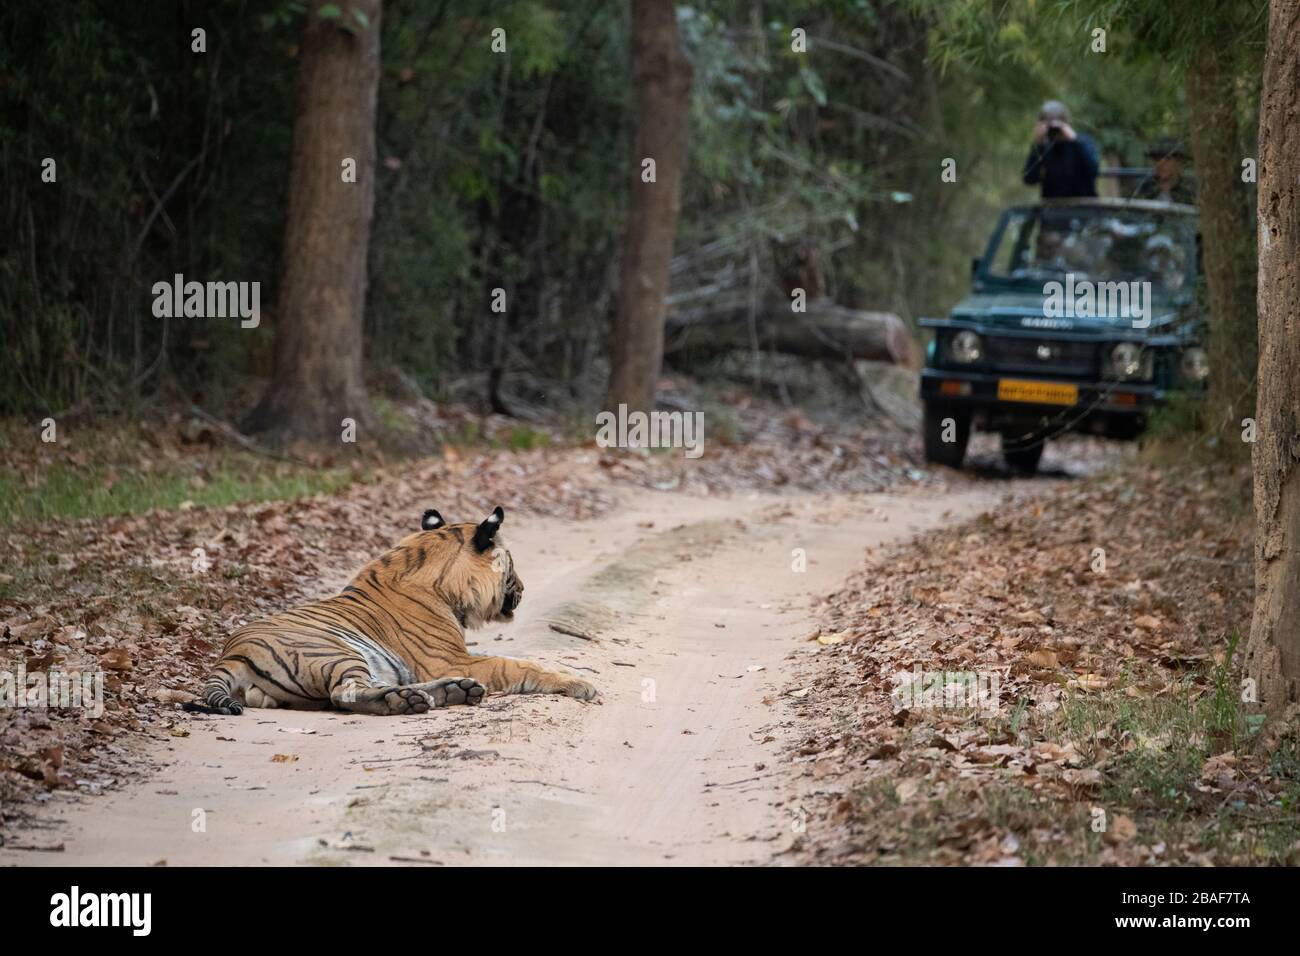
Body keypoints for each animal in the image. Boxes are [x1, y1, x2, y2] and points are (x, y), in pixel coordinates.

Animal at [187, 509, 598, 717]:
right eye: (511, 562)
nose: (524, 589)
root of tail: (229, 654)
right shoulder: (450, 659)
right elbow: (517, 665)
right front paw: (581, 684)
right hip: (336, 652)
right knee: (346, 694)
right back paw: (410, 702)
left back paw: (452, 692)